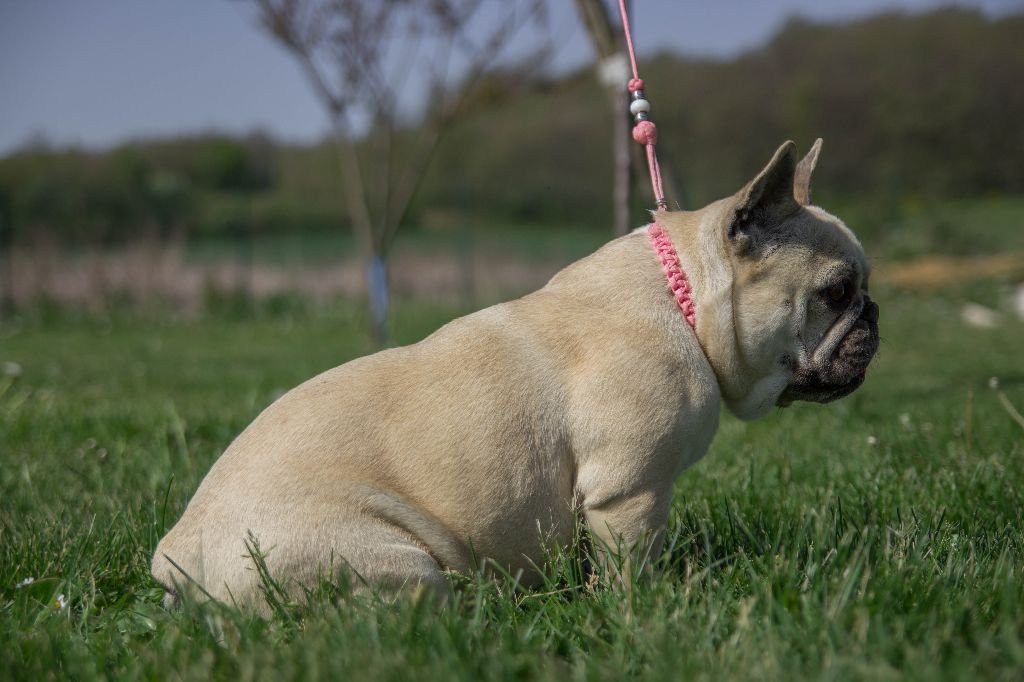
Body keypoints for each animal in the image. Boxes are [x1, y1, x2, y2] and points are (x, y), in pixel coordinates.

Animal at [151, 138, 880, 606]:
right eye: (837, 291)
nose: (874, 316)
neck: (687, 300)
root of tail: (177, 555)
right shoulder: (630, 491)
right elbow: (631, 568)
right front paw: (641, 612)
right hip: (394, 560)